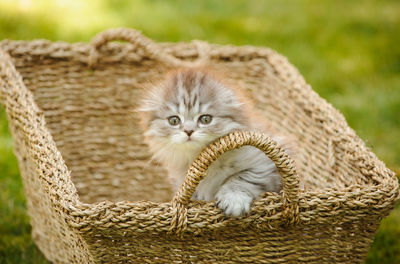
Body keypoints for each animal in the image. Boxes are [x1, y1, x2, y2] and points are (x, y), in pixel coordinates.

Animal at [139, 68, 292, 217]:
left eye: (205, 119)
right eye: (174, 120)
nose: (188, 131)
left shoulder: (264, 163)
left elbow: (242, 178)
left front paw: (234, 200)